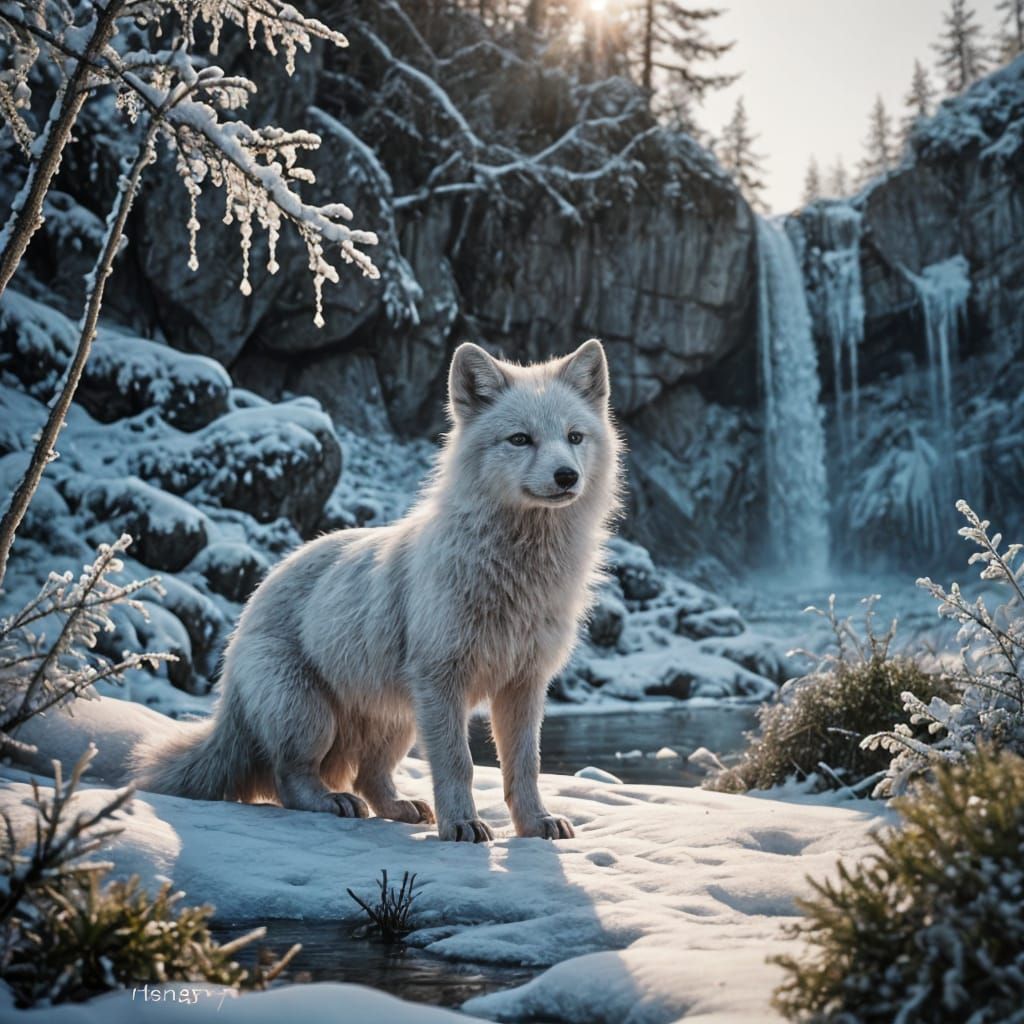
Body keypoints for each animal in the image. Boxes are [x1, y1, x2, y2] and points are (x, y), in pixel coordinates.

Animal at [134, 339, 621, 842]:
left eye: (574, 437)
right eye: (520, 439)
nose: (567, 476)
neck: (517, 572)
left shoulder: (524, 684)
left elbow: (525, 765)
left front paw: (535, 824)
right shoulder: (442, 679)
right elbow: (458, 764)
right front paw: (463, 825)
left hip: (397, 721)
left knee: (369, 777)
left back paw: (401, 807)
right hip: (312, 717)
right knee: (291, 780)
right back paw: (332, 803)